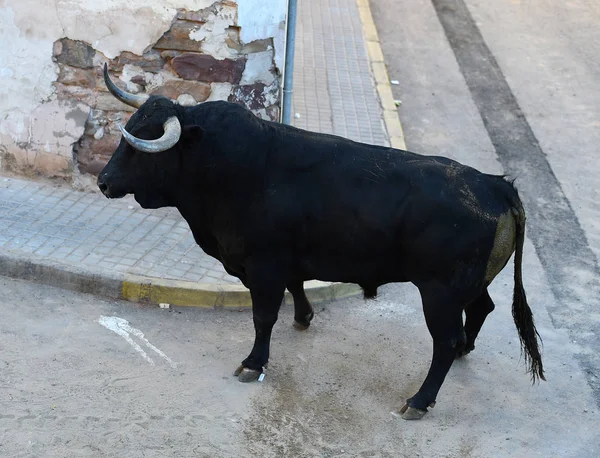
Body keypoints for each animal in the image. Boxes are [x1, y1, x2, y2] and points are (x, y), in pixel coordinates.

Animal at [97, 63, 544, 418]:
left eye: (141, 147)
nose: (102, 182)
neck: (224, 164)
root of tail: (495, 184)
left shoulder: (263, 265)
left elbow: (263, 317)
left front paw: (253, 363)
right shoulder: (285, 260)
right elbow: (296, 287)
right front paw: (304, 317)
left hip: (441, 294)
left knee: (444, 343)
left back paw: (419, 400)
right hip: (468, 286)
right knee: (481, 310)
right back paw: (467, 350)